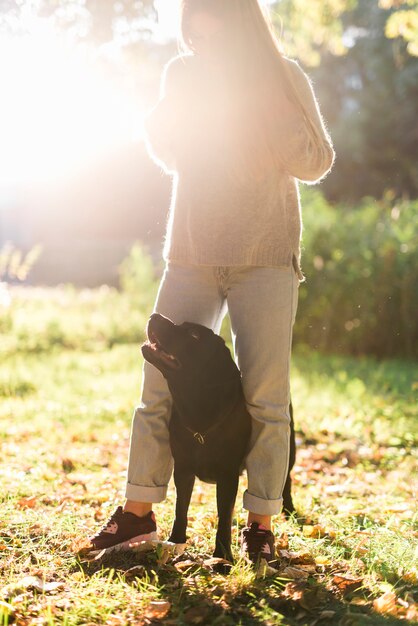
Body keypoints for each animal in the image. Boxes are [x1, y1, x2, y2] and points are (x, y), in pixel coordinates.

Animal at [142, 312, 296, 560]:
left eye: (193, 334)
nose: (154, 315)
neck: (199, 412)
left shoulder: (227, 475)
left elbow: (223, 518)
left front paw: (222, 557)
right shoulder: (183, 469)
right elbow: (181, 508)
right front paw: (176, 542)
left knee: (286, 479)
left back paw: (288, 510)